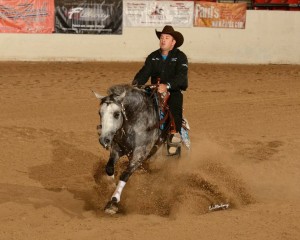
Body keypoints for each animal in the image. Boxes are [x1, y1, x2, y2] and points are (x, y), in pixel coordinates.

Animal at [93, 84, 171, 214]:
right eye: (100, 113)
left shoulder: (139, 154)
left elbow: (125, 174)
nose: (104, 140)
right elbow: (109, 168)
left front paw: (113, 201)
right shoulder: (117, 149)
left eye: (116, 114)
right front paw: (111, 188)